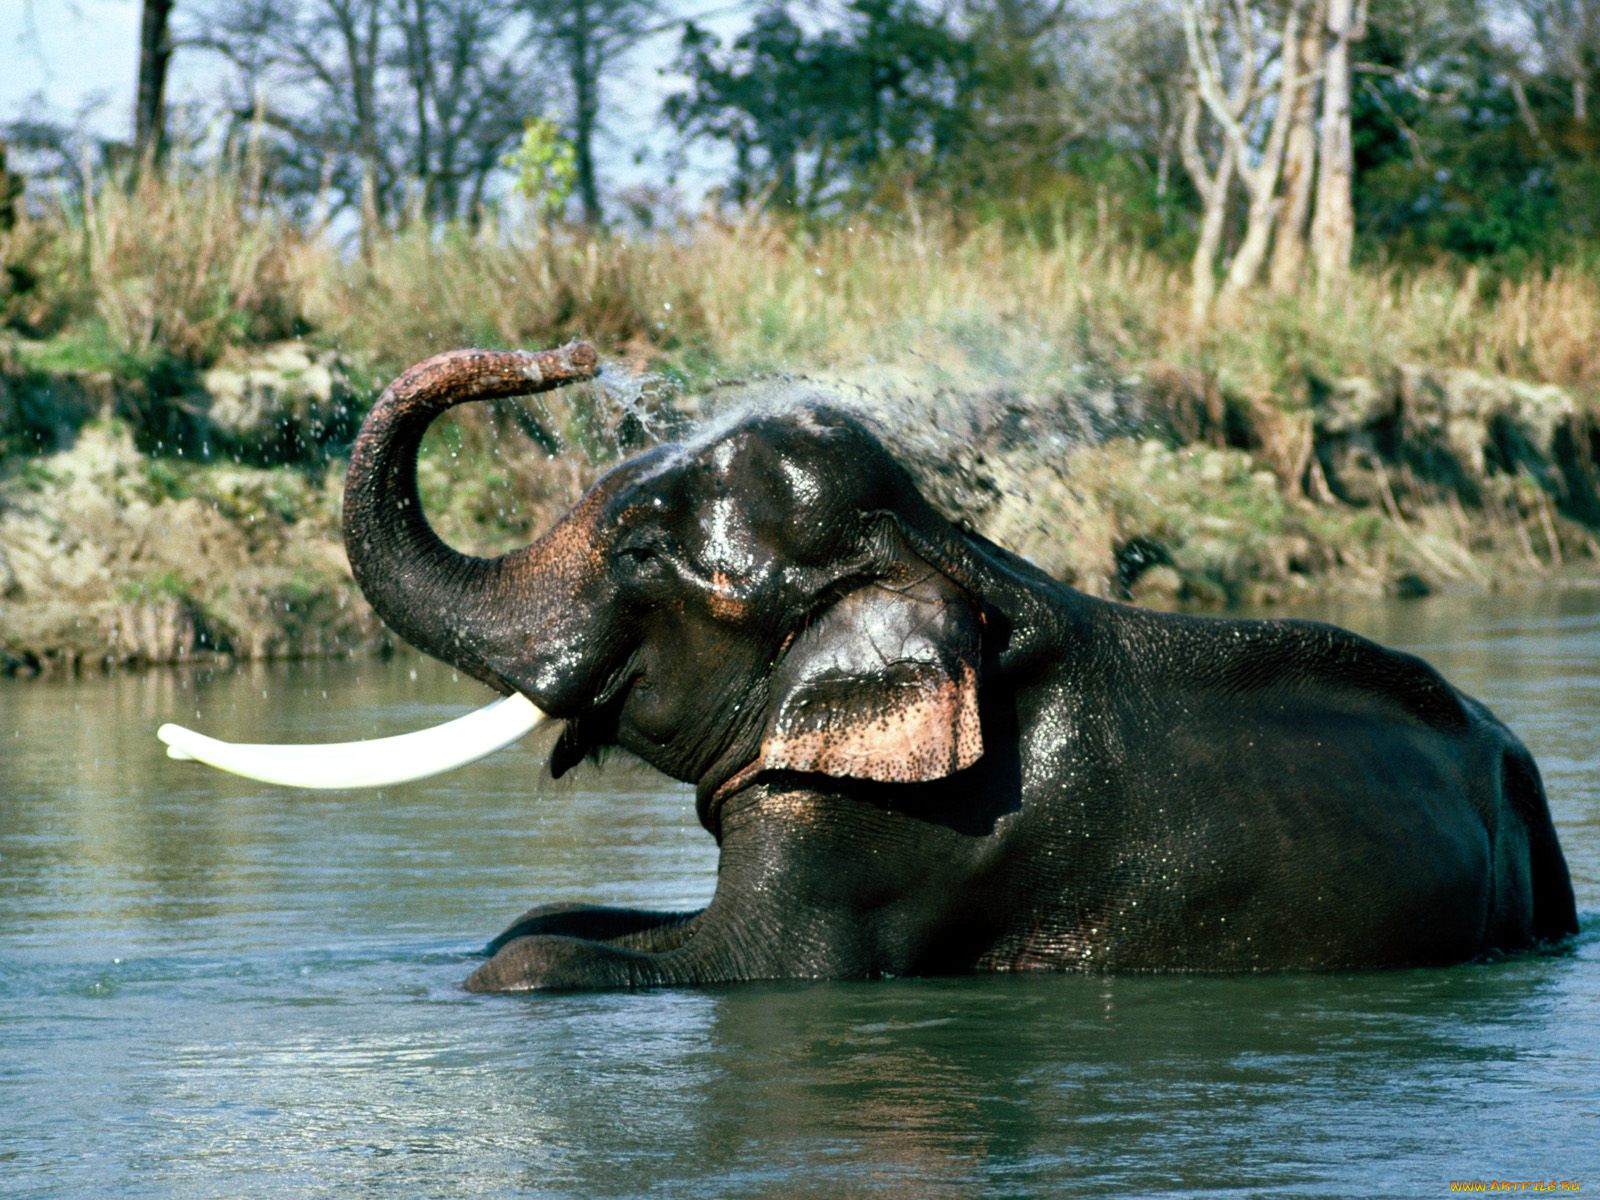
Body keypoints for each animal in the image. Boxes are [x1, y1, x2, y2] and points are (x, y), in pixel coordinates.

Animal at [336, 342, 1577, 991]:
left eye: (640, 546)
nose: (574, 357)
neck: (932, 546)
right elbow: (555, 915)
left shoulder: (893, 835)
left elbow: (738, 960)